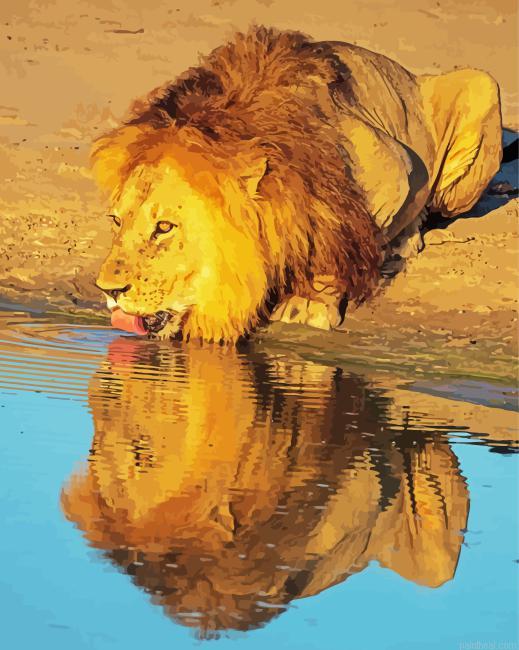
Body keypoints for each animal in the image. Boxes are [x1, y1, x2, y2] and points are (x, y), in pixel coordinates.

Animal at [93, 26, 502, 342]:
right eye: (116, 221)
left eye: (164, 227)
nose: (108, 291)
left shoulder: (396, 168)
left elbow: (334, 246)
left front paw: (307, 302)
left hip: (482, 86)